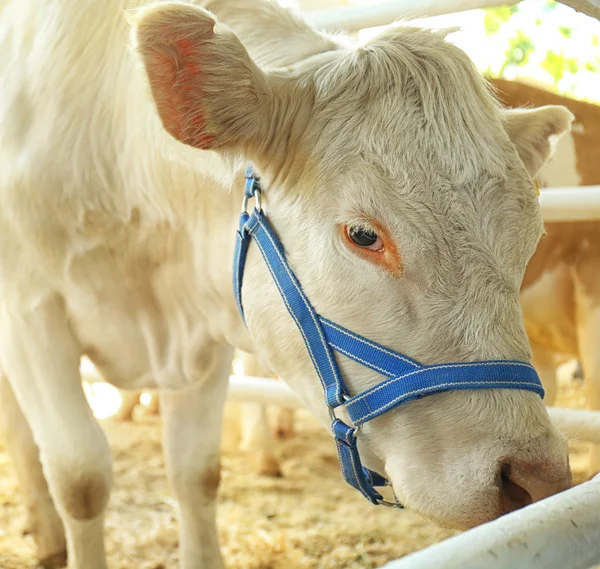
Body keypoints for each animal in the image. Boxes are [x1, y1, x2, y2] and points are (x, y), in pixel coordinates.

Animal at [0, 1, 572, 568]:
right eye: (364, 235)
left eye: (529, 239)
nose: (535, 476)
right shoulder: (31, 320)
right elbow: (80, 478)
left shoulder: (202, 337)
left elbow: (196, 472)